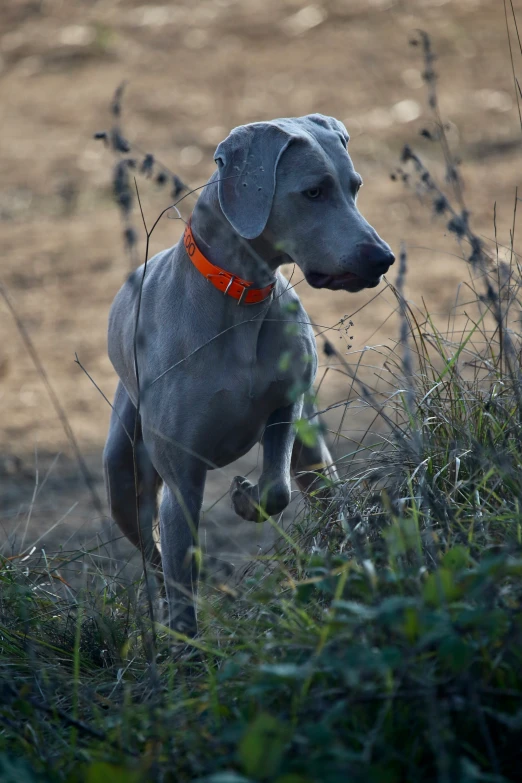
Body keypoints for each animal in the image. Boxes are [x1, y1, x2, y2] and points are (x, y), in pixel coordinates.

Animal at [103, 113, 392, 632]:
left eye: (354, 187)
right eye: (314, 192)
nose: (383, 257)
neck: (239, 296)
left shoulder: (285, 406)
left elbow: (276, 487)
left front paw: (246, 496)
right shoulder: (182, 482)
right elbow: (180, 572)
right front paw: (186, 645)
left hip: (314, 457)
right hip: (121, 473)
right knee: (153, 556)